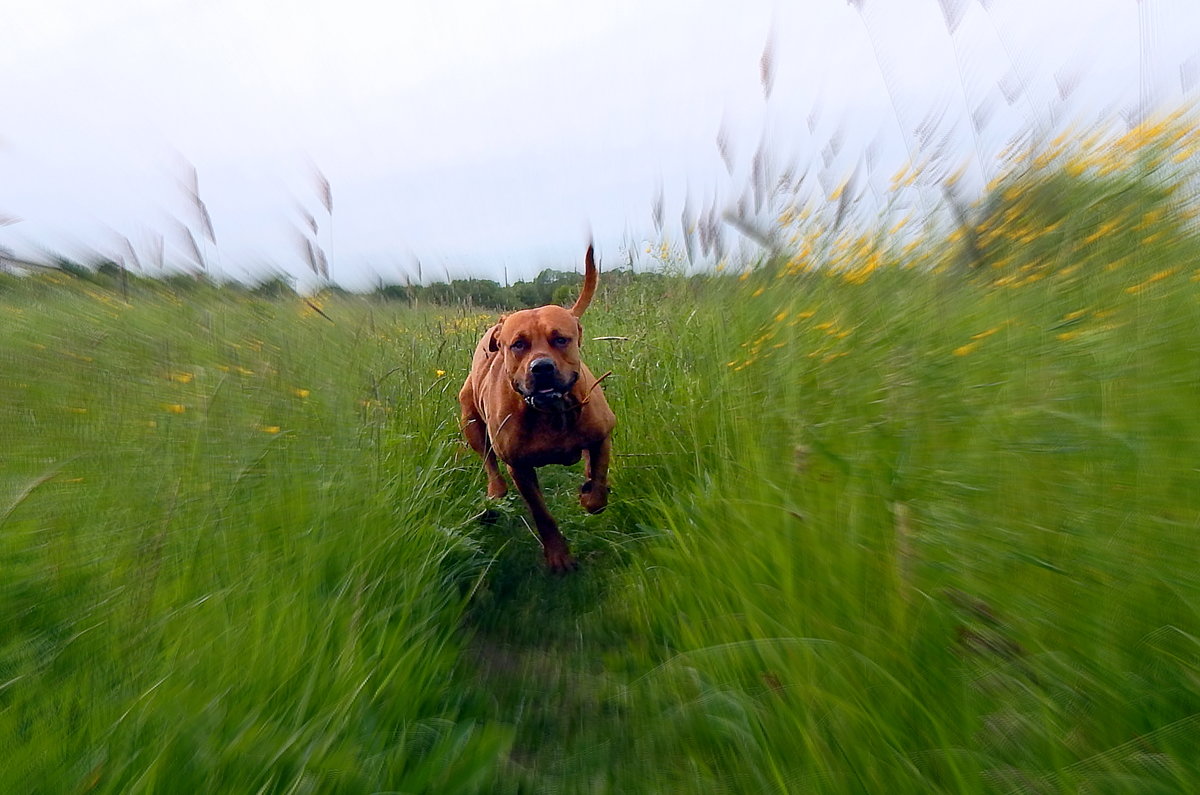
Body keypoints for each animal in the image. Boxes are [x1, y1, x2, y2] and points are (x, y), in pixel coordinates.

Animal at [453, 244, 614, 574]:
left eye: (560, 339)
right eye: (518, 345)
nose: (541, 368)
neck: (550, 413)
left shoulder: (603, 435)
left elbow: (599, 482)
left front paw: (591, 494)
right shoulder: (520, 468)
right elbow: (542, 513)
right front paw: (558, 555)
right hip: (470, 421)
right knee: (489, 462)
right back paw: (495, 492)